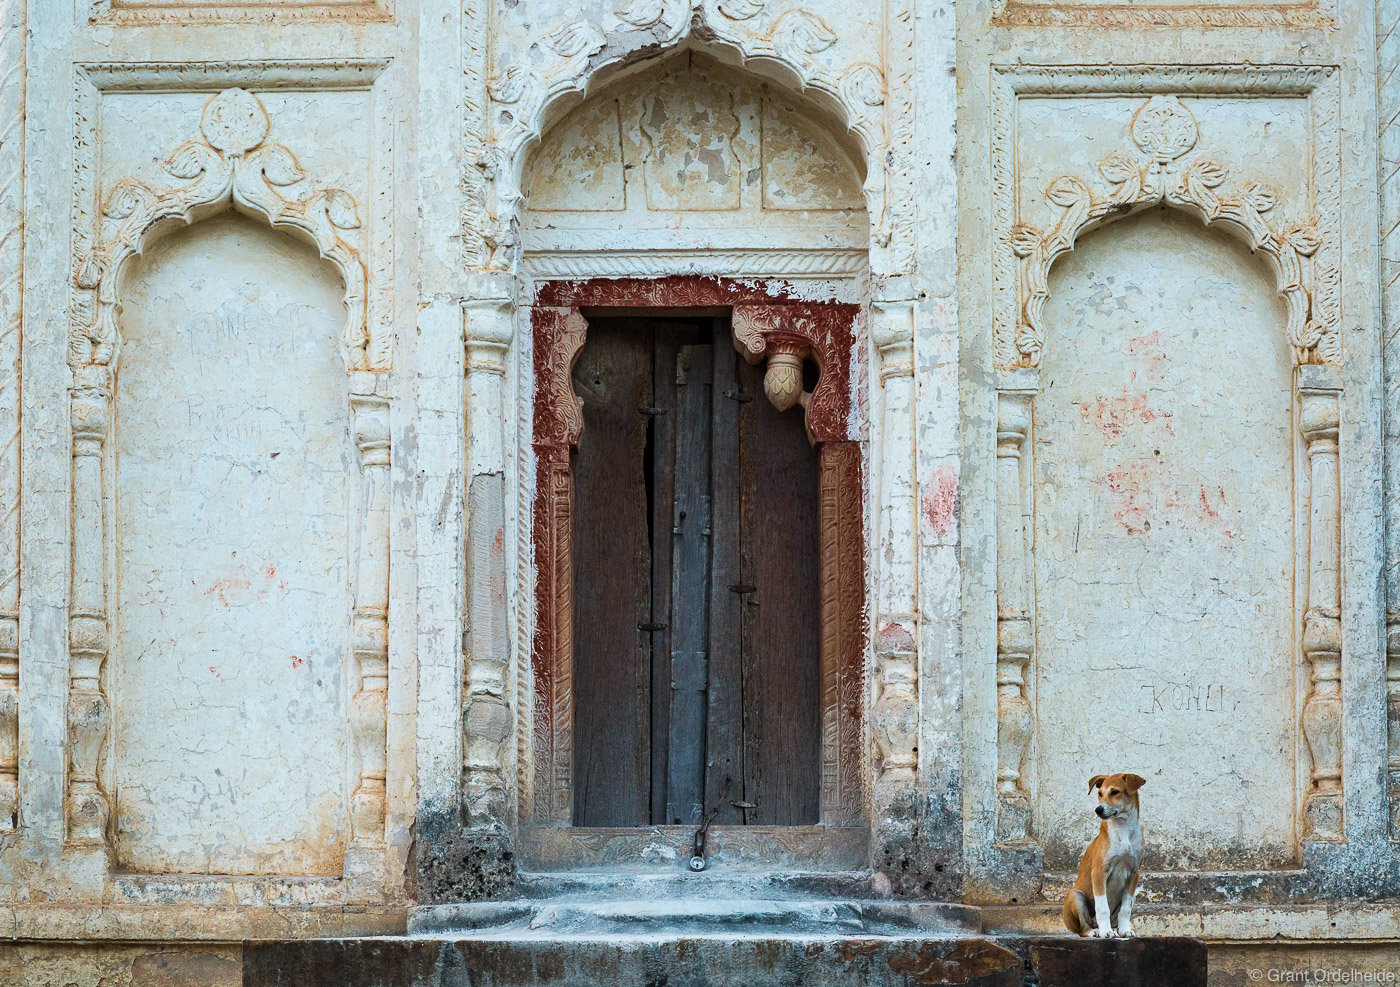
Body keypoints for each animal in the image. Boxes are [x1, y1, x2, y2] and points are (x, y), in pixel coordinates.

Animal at [1064, 772, 1142, 940]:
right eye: (1099, 793)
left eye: (1115, 792)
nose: (1098, 810)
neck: (1123, 828)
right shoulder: (1099, 872)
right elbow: (1102, 907)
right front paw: (1106, 931)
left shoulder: (1134, 873)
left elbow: (1125, 909)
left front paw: (1125, 930)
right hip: (1075, 895)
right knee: (1082, 929)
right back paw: (1096, 931)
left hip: (1135, 895)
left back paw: (1118, 929)